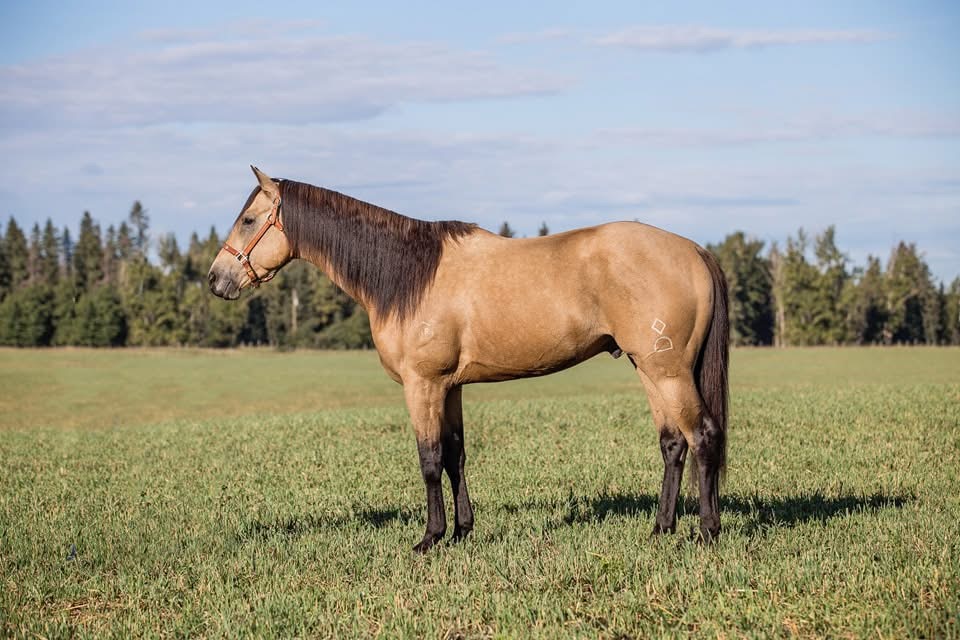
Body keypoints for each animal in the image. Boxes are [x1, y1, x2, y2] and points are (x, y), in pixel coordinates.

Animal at [208, 166, 729, 552]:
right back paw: (660, 529)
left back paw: (706, 533)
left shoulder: (423, 384)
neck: (408, 275)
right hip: (651, 369)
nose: (216, 279)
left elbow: (429, 458)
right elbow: (456, 454)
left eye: (249, 220)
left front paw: (430, 538)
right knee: (673, 444)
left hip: (667, 372)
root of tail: (694, 250)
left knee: (702, 436)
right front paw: (461, 531)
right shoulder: (451, 386)